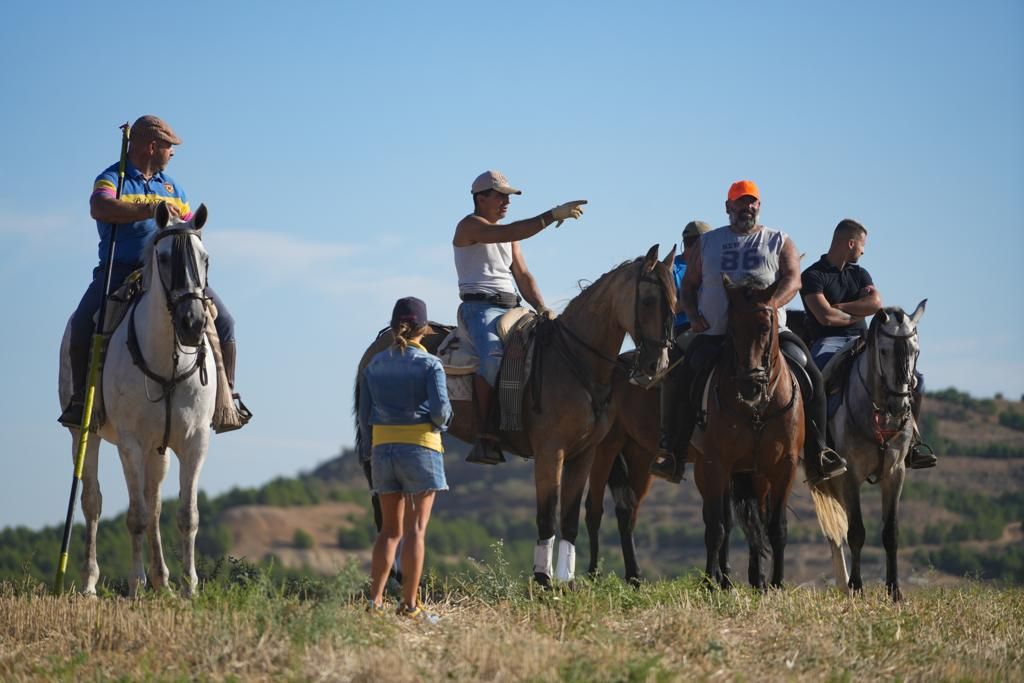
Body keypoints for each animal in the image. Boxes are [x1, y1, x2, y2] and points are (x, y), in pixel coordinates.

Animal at [58, 202, 216, 598]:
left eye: (205, 258)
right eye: (164, 257)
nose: (193, 323)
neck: (167, 361)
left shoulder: (194, 442)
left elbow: (185, 515)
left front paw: (189, 588)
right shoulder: (130, 444)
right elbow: (136, 516)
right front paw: (135, 585)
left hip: (158, 451)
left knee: (155, 502)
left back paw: (163, 581)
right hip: (84, 436)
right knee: (93, 502)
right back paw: (90, 584)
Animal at [356, 245, 675, 589]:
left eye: (674, 300)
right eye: (648, 301)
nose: (657, 365)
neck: (574, 361)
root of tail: (382, 342)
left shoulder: (584, 455)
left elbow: (570, 518)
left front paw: (566, 581)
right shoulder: (550, 452)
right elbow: (547, 515)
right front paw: (543, 579)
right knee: (384, 509)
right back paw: (396, 578)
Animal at [696, 274, 806, 589]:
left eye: (765, 327)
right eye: (732, 328)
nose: (750, 384)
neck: (757, 409)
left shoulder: (784, 466)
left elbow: (776, 527)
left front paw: (777, 583)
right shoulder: (716, 463)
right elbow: (717, 526)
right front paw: (709, 583)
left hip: (757, 475)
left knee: (756, 521)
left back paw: (756, 579)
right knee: (724, 519)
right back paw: (724, 579)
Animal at [811, 301, 933, 602]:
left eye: (916, 351)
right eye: (884, 350)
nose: (900, 406)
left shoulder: (895, 473)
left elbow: (890, 532)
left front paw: (894, 590)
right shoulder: (850, 475)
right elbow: (856, 530)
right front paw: (857, 586)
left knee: (835, 533)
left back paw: (842, 585)